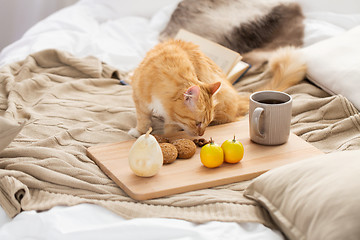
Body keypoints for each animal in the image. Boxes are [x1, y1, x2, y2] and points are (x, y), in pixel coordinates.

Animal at [128, 39, 306, 137]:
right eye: (198, 123)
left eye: (206, 123)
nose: (202, 134)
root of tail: (237, 97)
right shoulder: (140, 101)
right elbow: (143, 120)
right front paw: (138, 132)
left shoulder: (170, 118)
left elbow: (170, 128)